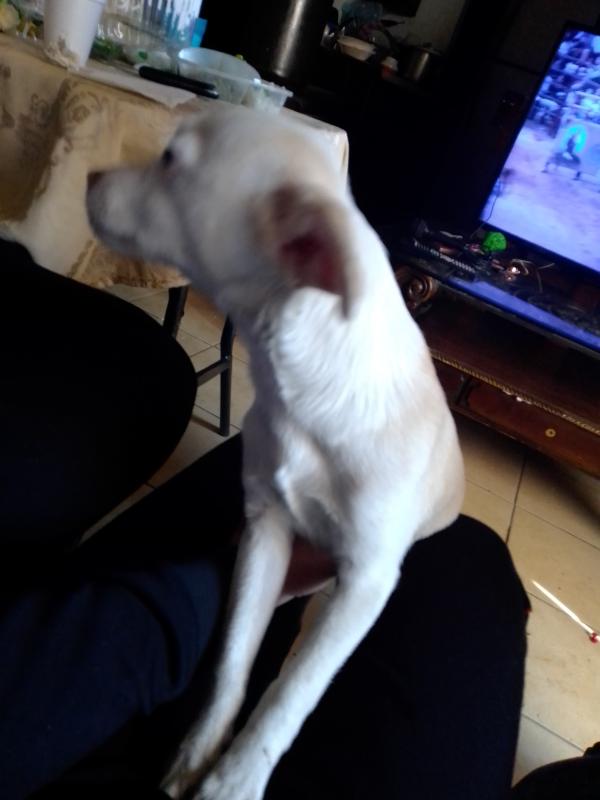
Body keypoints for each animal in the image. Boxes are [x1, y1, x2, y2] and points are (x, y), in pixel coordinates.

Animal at [87, 104, 464, 800]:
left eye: (170, 161)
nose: (92, 176)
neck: (302, 389)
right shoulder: (266, 531)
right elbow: (235, 664)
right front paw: (197, 755)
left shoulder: (365, 581)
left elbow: (292, 694)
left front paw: (234, 781)